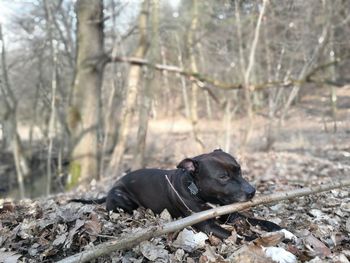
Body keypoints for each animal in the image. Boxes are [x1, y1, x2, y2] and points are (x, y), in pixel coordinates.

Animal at [72, 151, 282, 239]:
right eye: (223, 177)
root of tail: (112, 186)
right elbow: (243, 237)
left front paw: (278, 229)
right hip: (123, 199)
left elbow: (257, 221)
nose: (252, 191)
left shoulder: (230, 214)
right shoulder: (207, 225)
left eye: (239, 170)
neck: (197, 192)